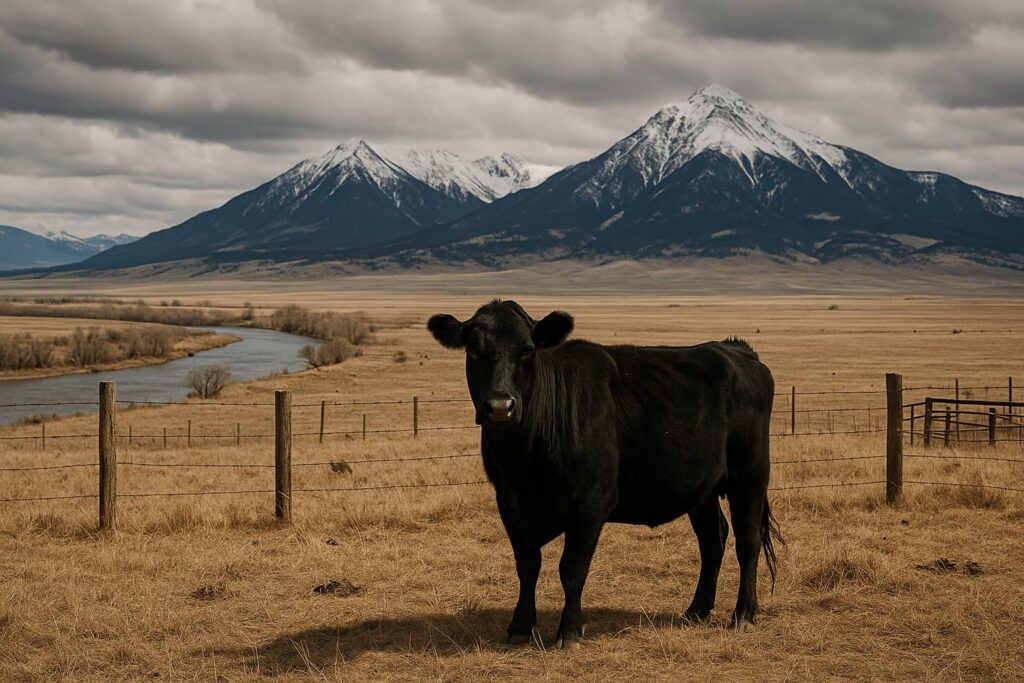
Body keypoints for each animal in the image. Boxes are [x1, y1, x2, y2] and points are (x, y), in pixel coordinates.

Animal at [428, 300, 781, 649]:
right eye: (474, 350)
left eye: (527, 350)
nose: (501, 407)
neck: (526, 462)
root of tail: (733, 349)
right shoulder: (508, 502)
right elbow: (527, 566)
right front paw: (519, 626)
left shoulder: (590, 502)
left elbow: (572, 568)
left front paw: (569, 631)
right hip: (702, 489)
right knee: (712, 539)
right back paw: (695, 611)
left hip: (750, 475)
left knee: (747, 541)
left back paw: (743, 615)